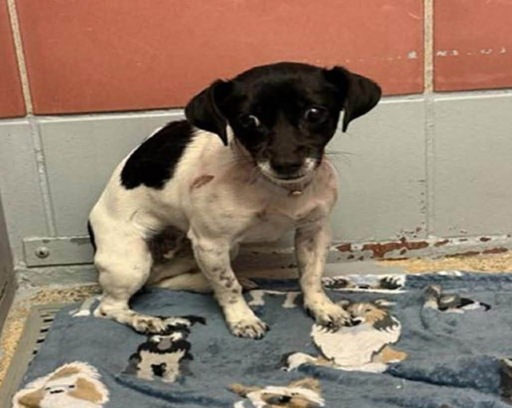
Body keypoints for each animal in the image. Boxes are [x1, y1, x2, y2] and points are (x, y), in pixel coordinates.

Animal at [88, 62, 381, 339]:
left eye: (314, 113)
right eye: (248, 119)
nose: (286, 163)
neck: (276, 189)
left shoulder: (314, 231)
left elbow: (312, 275)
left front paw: (321, 307)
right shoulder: (211, 244)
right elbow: (228, 287)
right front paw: (243, 319)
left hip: (210, 253)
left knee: (162, 282)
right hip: (131, 262)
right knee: (109, 307)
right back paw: (144, 320)